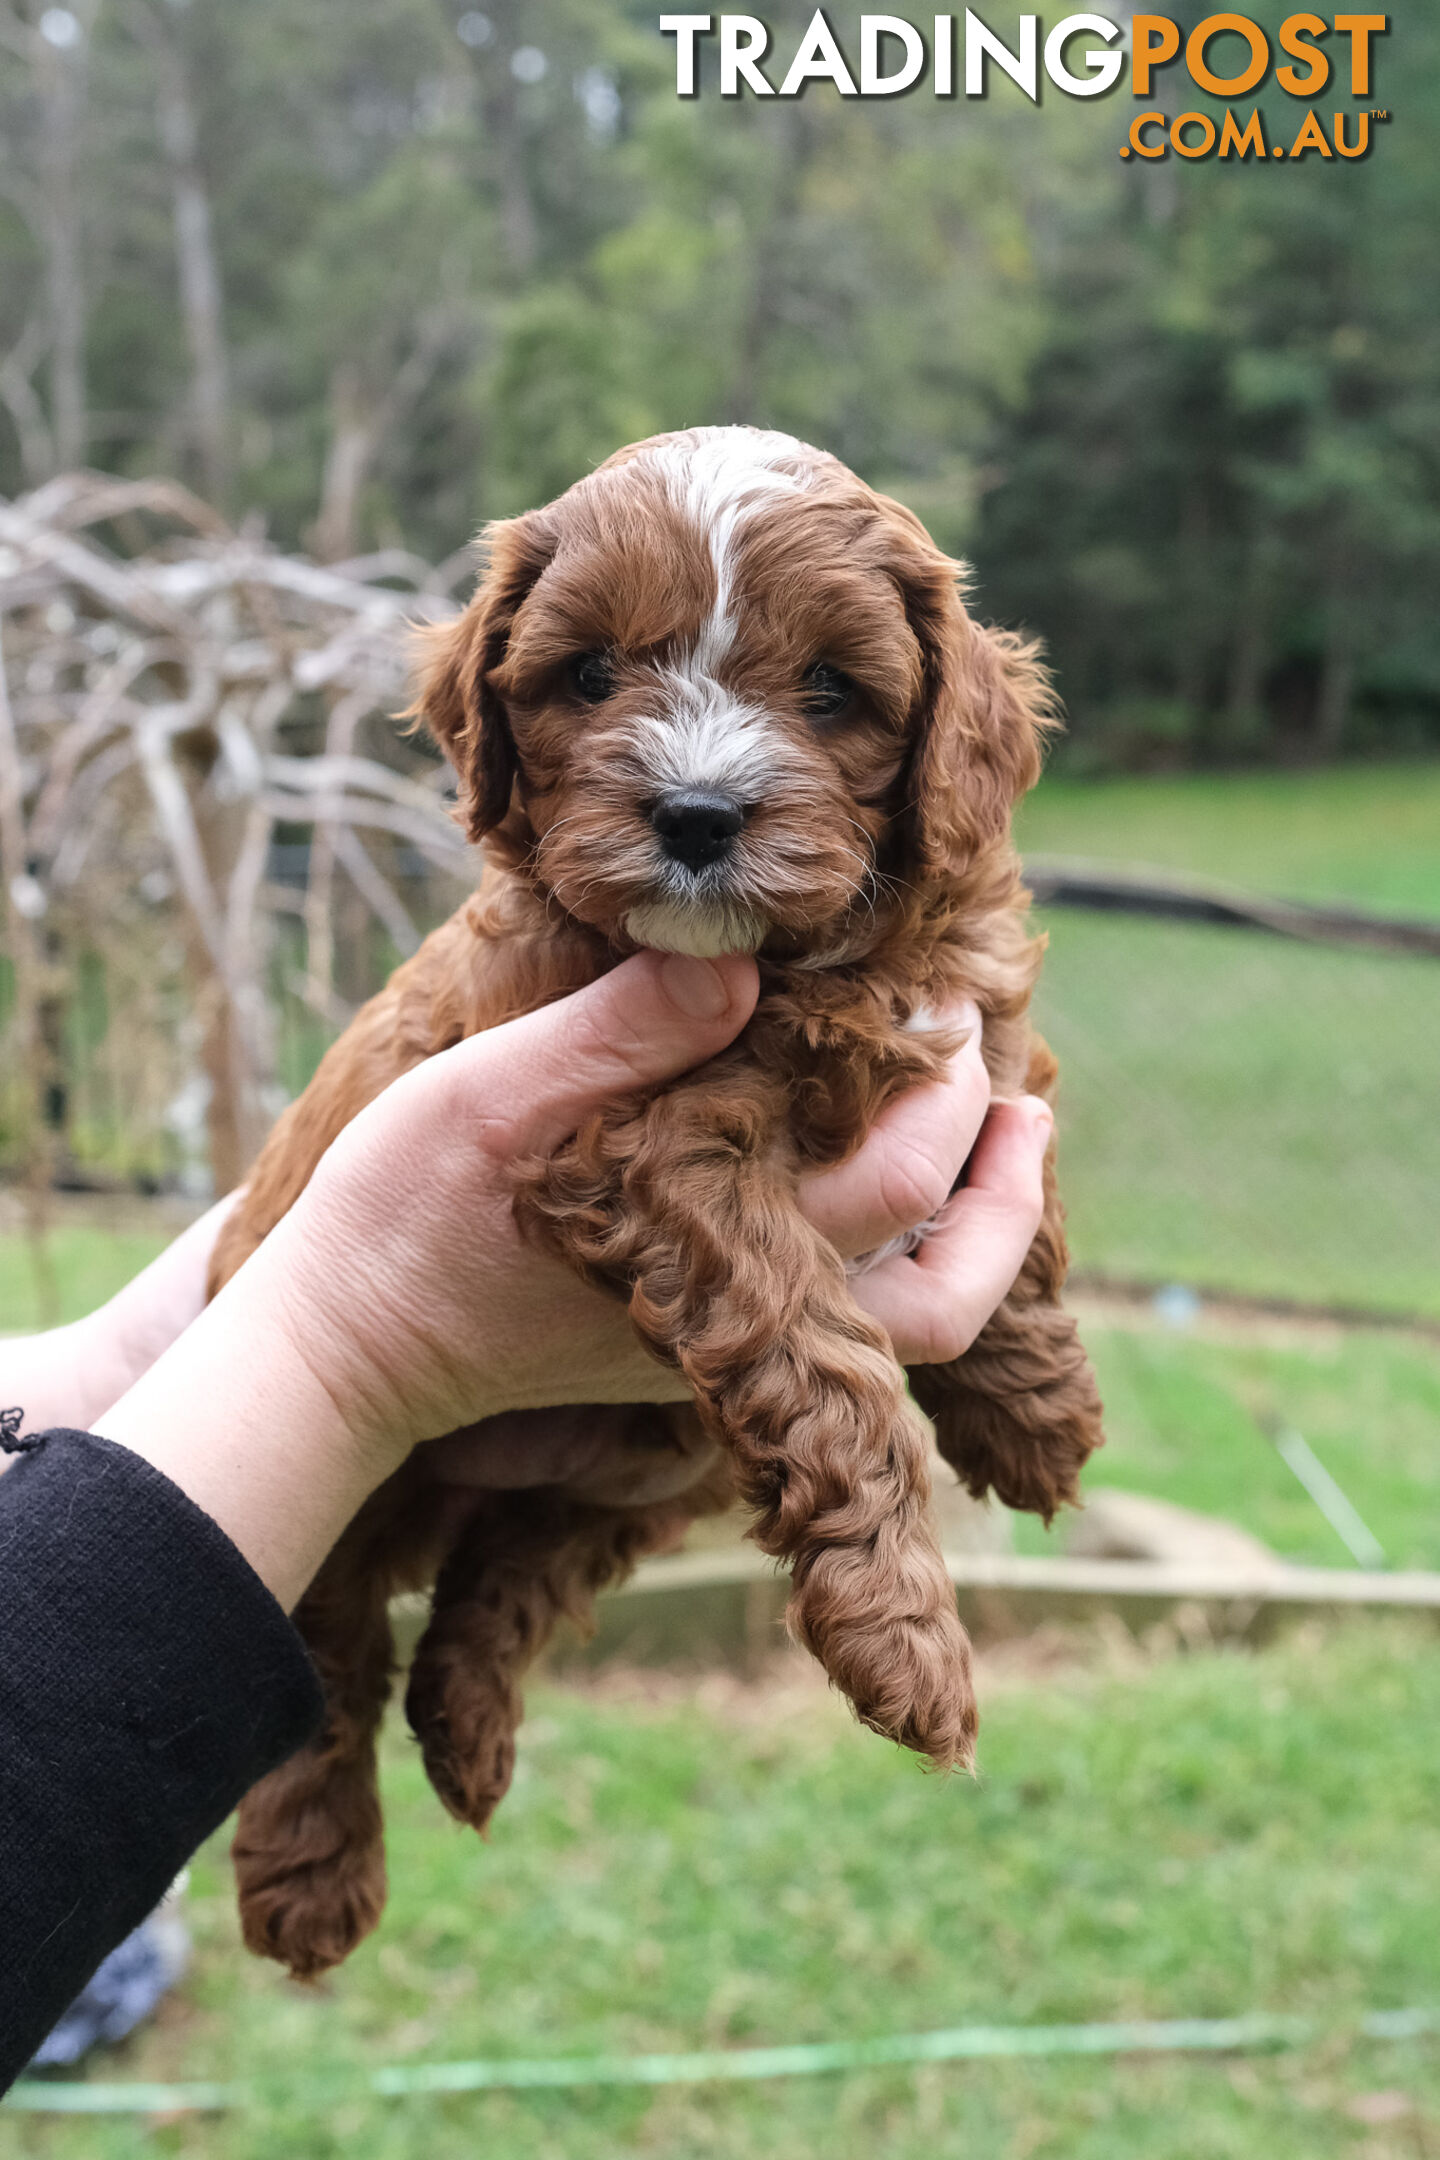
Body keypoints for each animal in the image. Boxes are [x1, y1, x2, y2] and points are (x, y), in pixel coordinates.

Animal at [208, 421, 1105, 1978]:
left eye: (832, 689)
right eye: (587, 675)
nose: (696, 816)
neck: (810, 959)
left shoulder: (980, 1016)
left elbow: (1020, 1181)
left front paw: (1037, 1410)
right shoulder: (645, 1144)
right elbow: (829, 1362)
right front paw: (909, 1642)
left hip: (654, 1467)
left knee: (508, 1568)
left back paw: (467, 1731)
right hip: (366, 1478)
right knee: (327, 1643)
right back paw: (313, 1879)